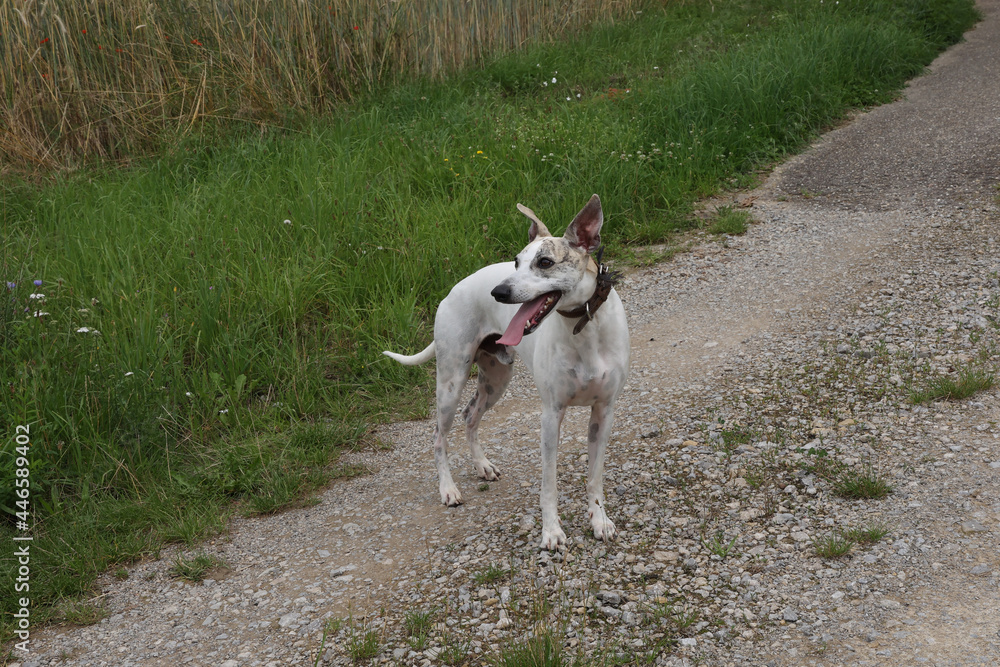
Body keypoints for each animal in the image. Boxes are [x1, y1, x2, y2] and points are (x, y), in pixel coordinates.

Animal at [384, 196, 628, 552]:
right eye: (515, 262)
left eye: (544, 262)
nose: (498, 292)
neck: (584, 328)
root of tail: (452, 291)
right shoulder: (551, 416)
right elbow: (549, 483)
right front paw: (551, 531)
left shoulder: (604, 412)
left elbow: (594, 478)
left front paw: (599, 521)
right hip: (451, 382)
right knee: (439, 436)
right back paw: (448, 489)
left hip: (496, 380)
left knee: (471, 415)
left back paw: (482, 466)